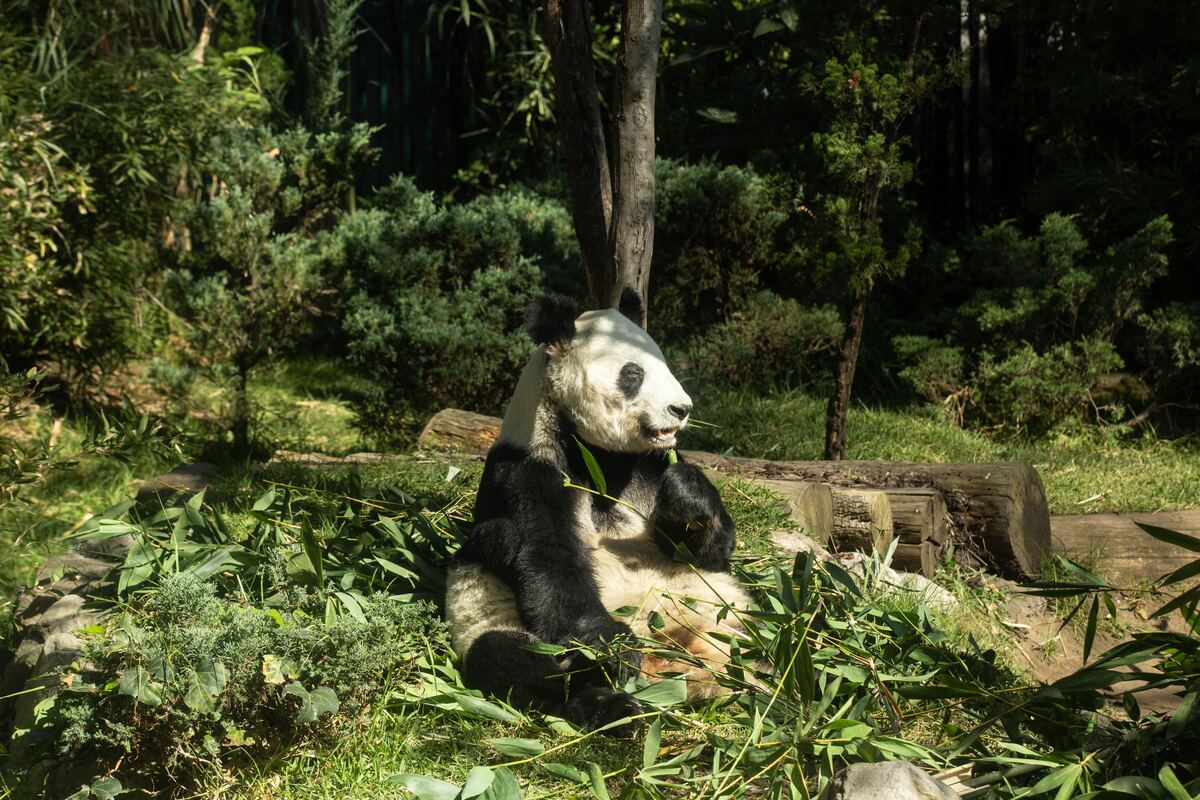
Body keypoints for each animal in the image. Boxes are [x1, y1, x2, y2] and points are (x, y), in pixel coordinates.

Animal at [446, 291, 748, 734]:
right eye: (633, 374)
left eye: (665, 365)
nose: (681, 408)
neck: (597, 452)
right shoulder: (530, 470)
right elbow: (547, 559)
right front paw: (613, 648)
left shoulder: (648, 466)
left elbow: (705, 554)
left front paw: (688, 494)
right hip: (489, 617)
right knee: (515, 661)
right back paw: (612, 701)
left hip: (725, 614)